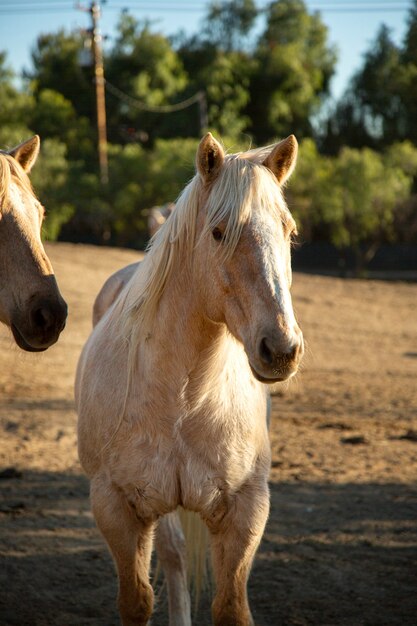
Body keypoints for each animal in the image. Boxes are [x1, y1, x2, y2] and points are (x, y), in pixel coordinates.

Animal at [75, 134, 302, 620]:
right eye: (218, 232)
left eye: (289, 232)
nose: (282, 349)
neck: (184, 396)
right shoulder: (116, 508)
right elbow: (138, 600)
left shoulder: (247, 509)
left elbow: (231, 605)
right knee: (175, 557)